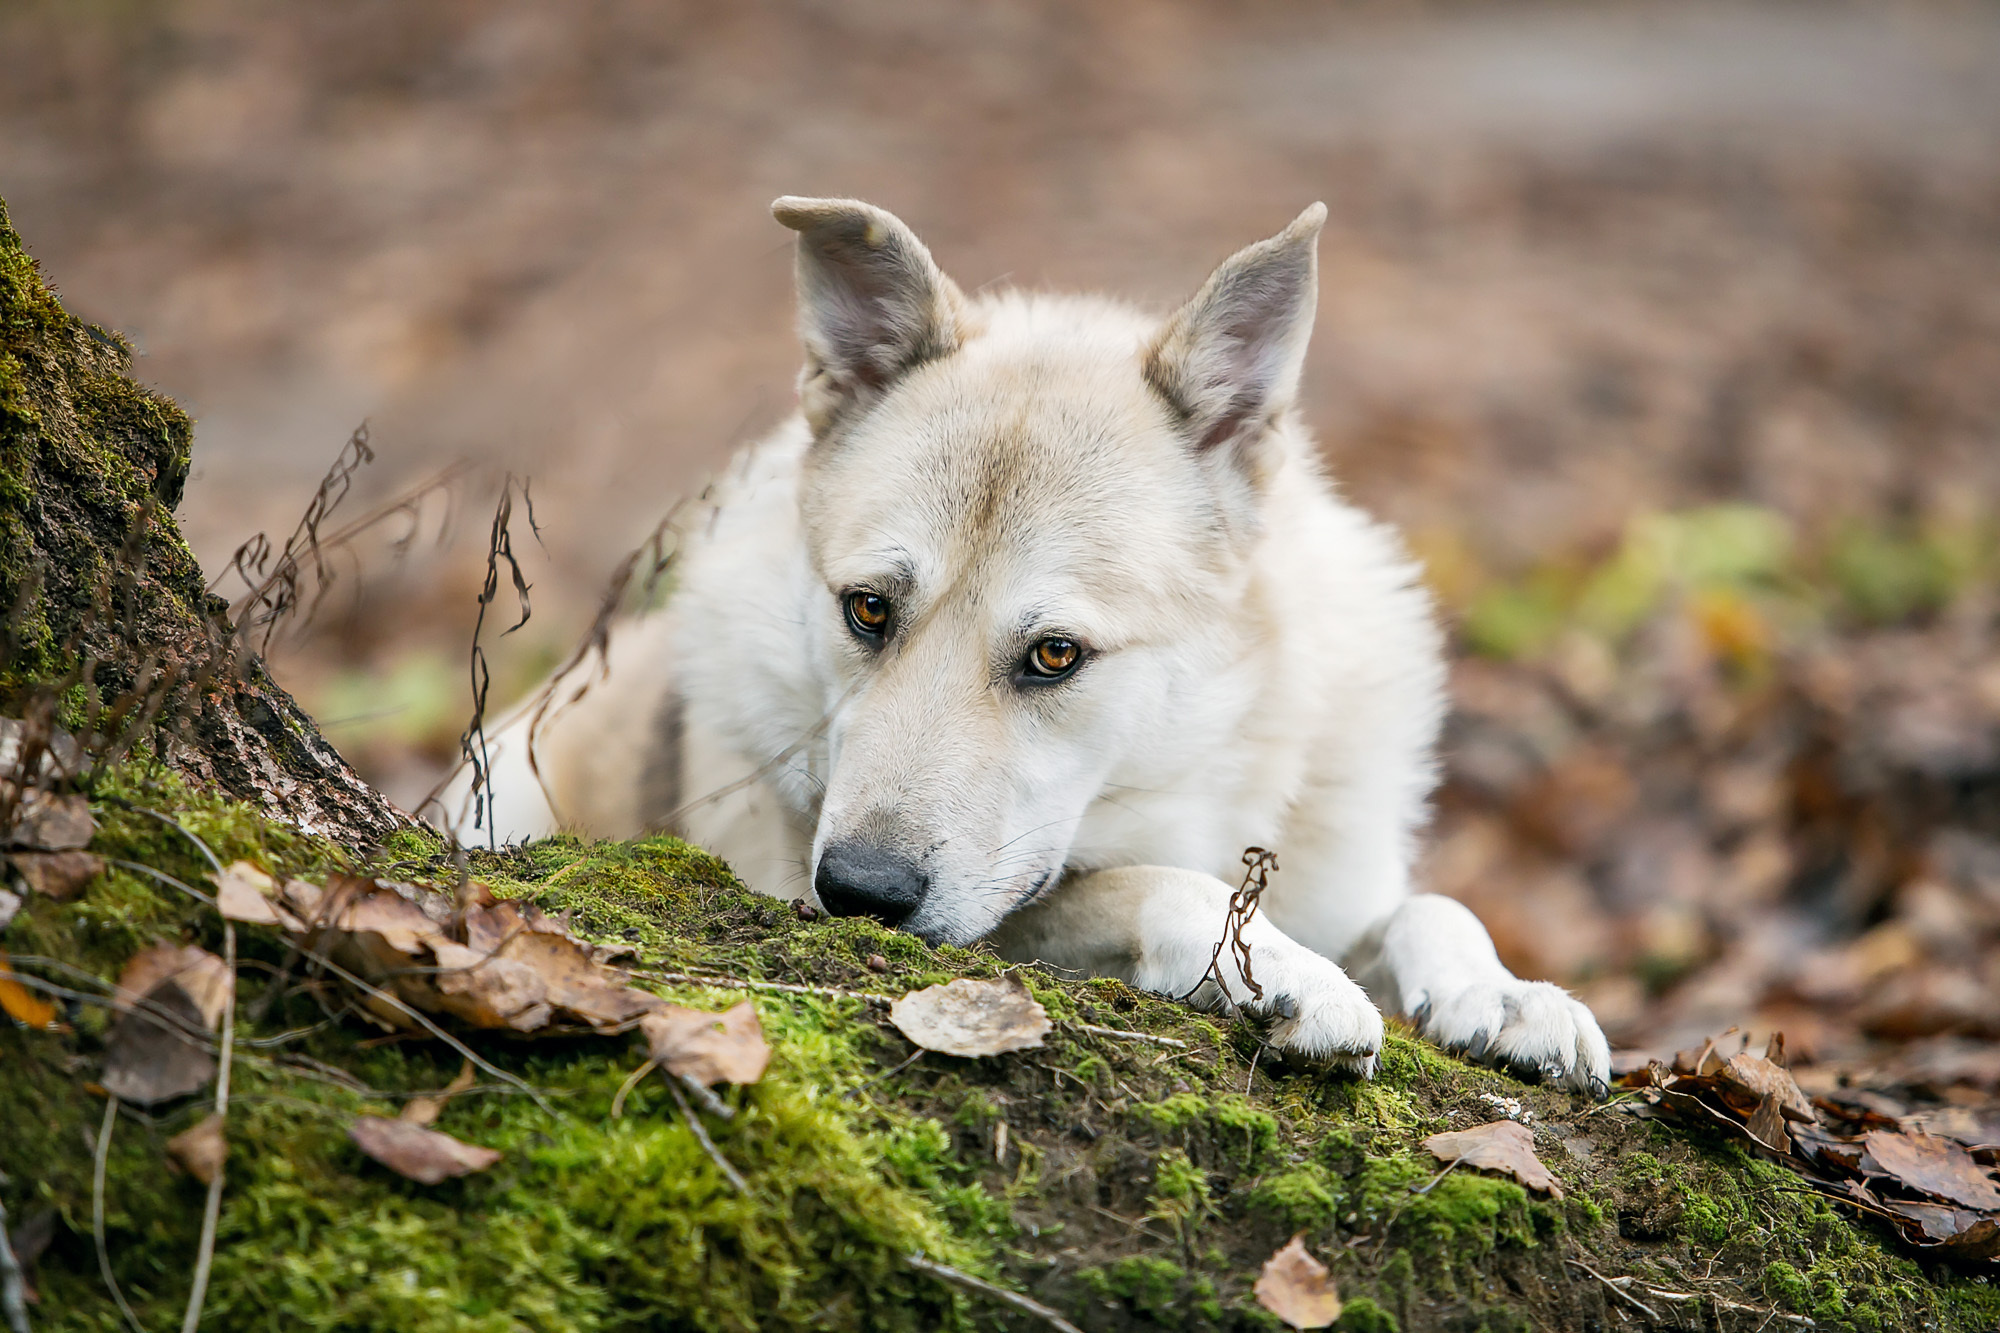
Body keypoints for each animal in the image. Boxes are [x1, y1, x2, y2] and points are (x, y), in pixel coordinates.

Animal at [450, 197, 1608, 1088]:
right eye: (866, 609)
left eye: (1055, 655)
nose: (857, 897)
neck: (1205, 766)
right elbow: (1151, 884)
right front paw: (1278, 974)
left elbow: (1432, 904)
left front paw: (1502, 992)